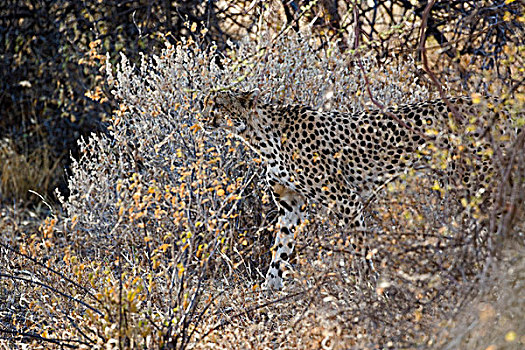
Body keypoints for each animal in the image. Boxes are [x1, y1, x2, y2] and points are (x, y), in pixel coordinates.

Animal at [200, 89, 496, 290]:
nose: (202, 118)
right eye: (205, 103)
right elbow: (281, 248)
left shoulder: (345, 199)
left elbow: (359, 246)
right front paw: (270, 287)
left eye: (217, 105)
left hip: (475, 181)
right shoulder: (290, 204)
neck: (262, 136)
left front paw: (366, 285)